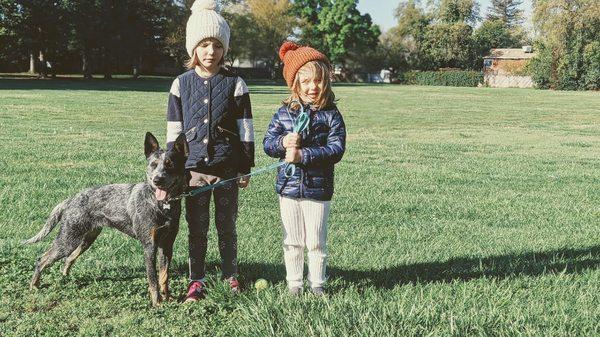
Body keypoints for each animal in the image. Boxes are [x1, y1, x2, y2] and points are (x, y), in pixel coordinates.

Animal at [23, 133, 188, 306]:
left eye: (170, 164)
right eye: (153, 165)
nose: (157, 180)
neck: (162, 206)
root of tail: (70, 200)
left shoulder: (167, 245)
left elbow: (164, 276)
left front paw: (168, 297)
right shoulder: (149, 246)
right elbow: (153, 280)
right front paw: (157, 303)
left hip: (86, 239)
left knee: (68, 259)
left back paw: (65, 278)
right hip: (67, 240)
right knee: (42, 259)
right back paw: (34, 285)